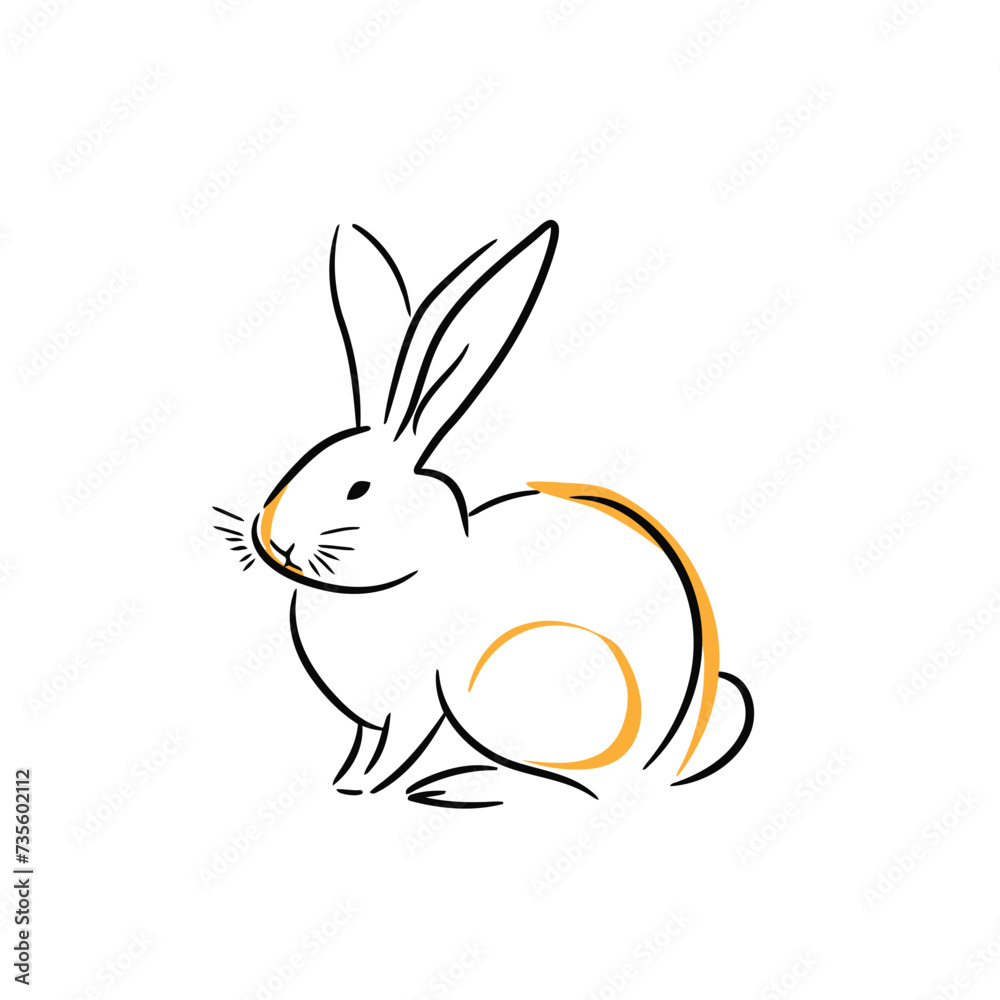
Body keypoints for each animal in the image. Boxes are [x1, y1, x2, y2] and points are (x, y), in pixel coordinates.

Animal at [216, 220, 753, 807]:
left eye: (358, 489)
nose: (275, 539)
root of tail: (664, 758)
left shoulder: (415, 706)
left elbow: (395, 754)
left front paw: (368, 791)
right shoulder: (369, 722)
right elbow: (362, 749)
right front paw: (346, 783)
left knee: (574, 785)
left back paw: (459, 786)